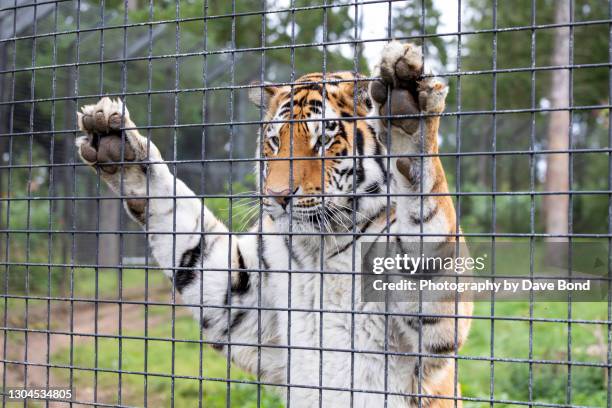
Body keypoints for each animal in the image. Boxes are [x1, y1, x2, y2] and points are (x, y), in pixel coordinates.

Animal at [75, 42, 474, 408]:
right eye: (274, 141)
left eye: (323, 140)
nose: (279, 195)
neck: (321, 246)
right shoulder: (241, 302)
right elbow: (184, 227)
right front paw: (116, 143)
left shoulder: (429, 334)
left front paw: (408, 110)